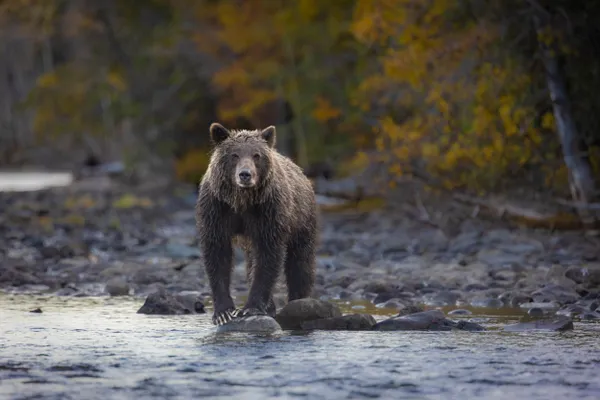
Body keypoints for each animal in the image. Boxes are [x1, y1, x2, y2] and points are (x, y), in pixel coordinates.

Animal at [196, 122, 318, 324]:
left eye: (256, 155)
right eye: (234, 154)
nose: (245, 175)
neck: (241, 201)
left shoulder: (268, 213)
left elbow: (268, 258)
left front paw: (251, 308)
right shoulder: (217, 210)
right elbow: (217, 255)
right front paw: (223, 312)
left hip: (302, 219)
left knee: (300, 262)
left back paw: (300, 300)